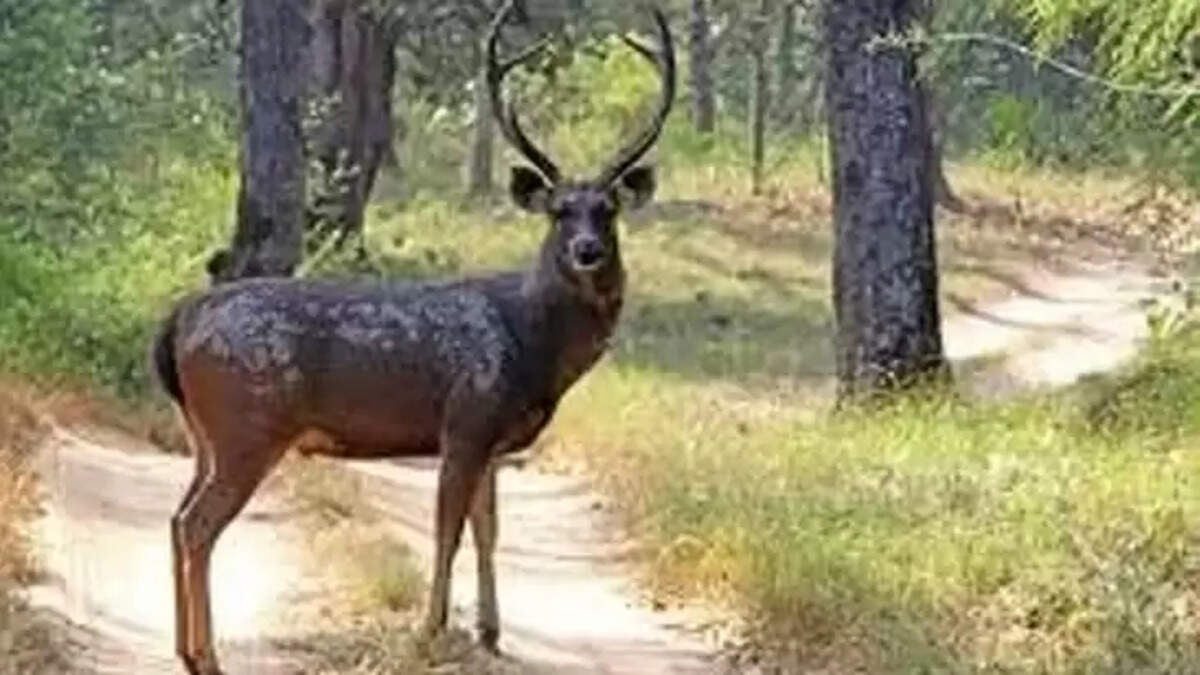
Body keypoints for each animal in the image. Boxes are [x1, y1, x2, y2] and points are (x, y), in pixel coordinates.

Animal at [149, 4, 675, 674]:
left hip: (204, 434)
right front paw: (429, 633)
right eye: (559, 210)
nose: (587, 251)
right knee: (196, 525)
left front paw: (490, 633)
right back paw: (206, 656)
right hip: (248, 425)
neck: (531, 343)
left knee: (175, 518)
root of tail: (178, 322)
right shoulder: (467, 420)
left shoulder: (494, 442)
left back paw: (185, 650)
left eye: (607, 209)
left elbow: (488, 528)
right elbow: (448, 528)